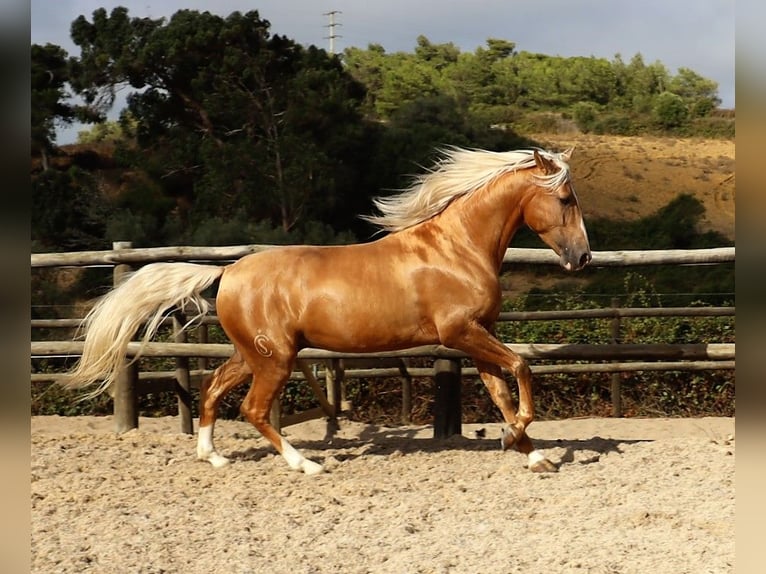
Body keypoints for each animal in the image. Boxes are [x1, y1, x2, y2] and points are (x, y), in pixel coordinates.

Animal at [64, 146, 592, 474]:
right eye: (566, 198)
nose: (583, 257)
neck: (456, 248)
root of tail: (228, 272)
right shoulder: (461, 332)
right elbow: (521, 368)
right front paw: (516, 437)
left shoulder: (477, 335)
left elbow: (501, 393)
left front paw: (531, 454)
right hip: (275, 359)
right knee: (254, 409)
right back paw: (308, 464)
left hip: (253, 354)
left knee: (213, 389)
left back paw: (213, 457)